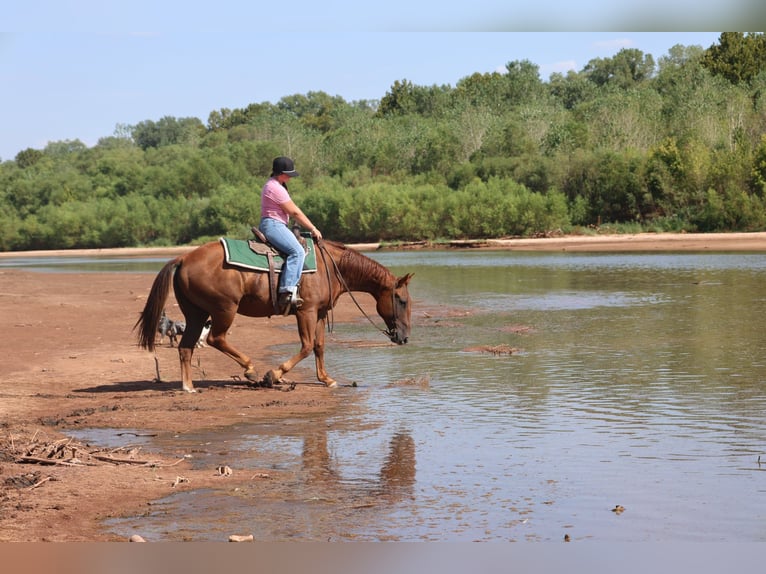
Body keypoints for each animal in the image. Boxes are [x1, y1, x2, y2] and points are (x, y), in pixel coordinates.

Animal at [134, 238, 413, 392]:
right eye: (402, 300)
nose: (404, 338)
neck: (331, 267)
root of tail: (183, 258)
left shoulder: (320, 313)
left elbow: (319, 346)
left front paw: (326, 379)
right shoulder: (305, 311)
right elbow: (307, 345)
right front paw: (275, 375)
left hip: (196, 314)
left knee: (186, 347)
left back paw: (188, 387)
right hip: (224, 310)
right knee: (215, 339)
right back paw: (250, 370)